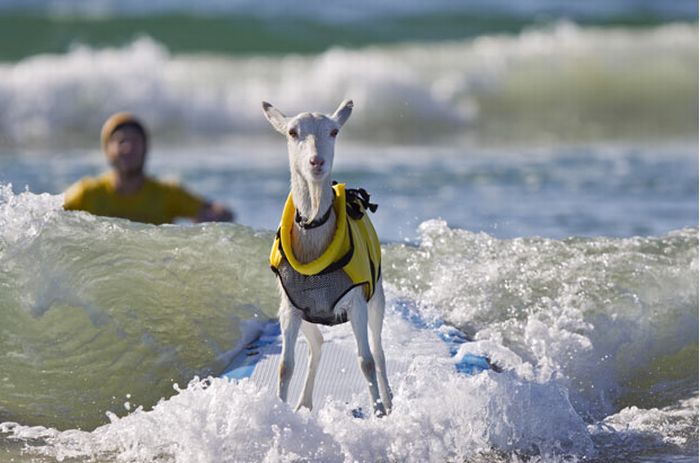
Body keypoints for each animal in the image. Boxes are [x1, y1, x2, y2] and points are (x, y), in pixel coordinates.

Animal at [262, 99, 394, 416]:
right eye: (292, 132)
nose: (316, 162)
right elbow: (285, 366)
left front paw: (378, 412)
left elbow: (365, 361)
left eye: (334, 131)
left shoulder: (357, 300)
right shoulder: (291, 307)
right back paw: (304, 403)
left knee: (378, 350)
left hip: (377, 295)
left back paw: (388, 401)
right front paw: (279, 410)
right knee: (318, 342)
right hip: (306, 312)